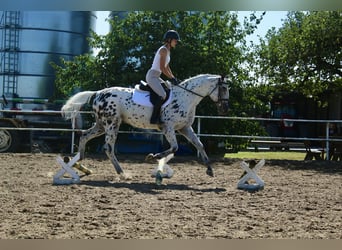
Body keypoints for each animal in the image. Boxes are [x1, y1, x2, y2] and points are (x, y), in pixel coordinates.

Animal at [61, 73, 230, 185]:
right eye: (223, 88)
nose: (224, 109)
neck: (186, 97)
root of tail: (97, 93)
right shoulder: (168, 127)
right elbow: (174, 147)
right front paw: (152, 156)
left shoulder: (184, 128)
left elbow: (199, 145)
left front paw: (209, 169)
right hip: (112, 123)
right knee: (108, 147)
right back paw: (122, 173)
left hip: (101, 125)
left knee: (84, 135)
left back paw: (79, 162)